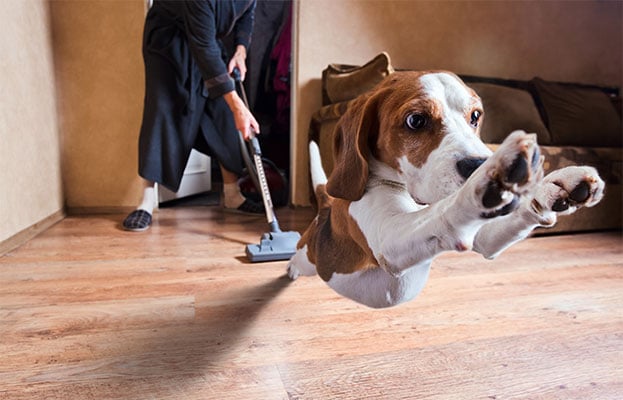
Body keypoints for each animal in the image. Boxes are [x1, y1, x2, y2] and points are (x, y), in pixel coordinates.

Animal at [288, 71, 604, 310]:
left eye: (475, 116)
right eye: (415, 120)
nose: (479, 163)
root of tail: (326, 208)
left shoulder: (483, 237)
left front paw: (553, 186)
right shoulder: (389, 237)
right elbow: (447, 209)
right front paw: (488, 179)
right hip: (309, 256)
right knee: (298, 256)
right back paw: (290, 268)